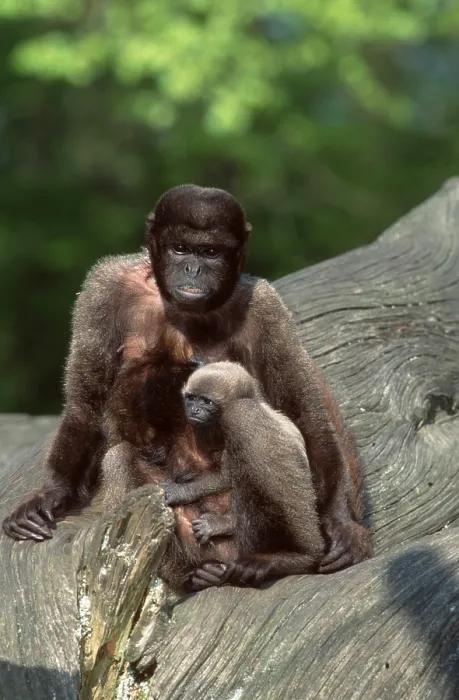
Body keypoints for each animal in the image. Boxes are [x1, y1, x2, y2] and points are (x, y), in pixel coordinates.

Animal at [163, 361, 326, 589]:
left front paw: (181, 491)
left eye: (207, 402)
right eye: (191, 398)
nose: (193, 409)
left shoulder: (238, 418)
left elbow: (227, 476)